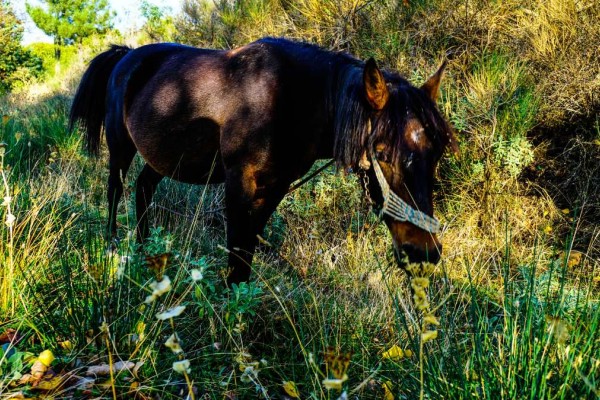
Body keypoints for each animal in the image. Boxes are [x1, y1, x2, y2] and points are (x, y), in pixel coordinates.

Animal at [68, 37, 458, 284]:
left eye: (437, 152)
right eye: (380, 153)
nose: (424, 252)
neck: (289, 98)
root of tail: (127, 54)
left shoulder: (275, 189)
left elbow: (248, 252)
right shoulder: (238, 185)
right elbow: (237, 254)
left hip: (166, 158)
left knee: (144, 187)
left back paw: (146, 249)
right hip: (120, 146)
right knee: (115, 190)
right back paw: (114, 249)